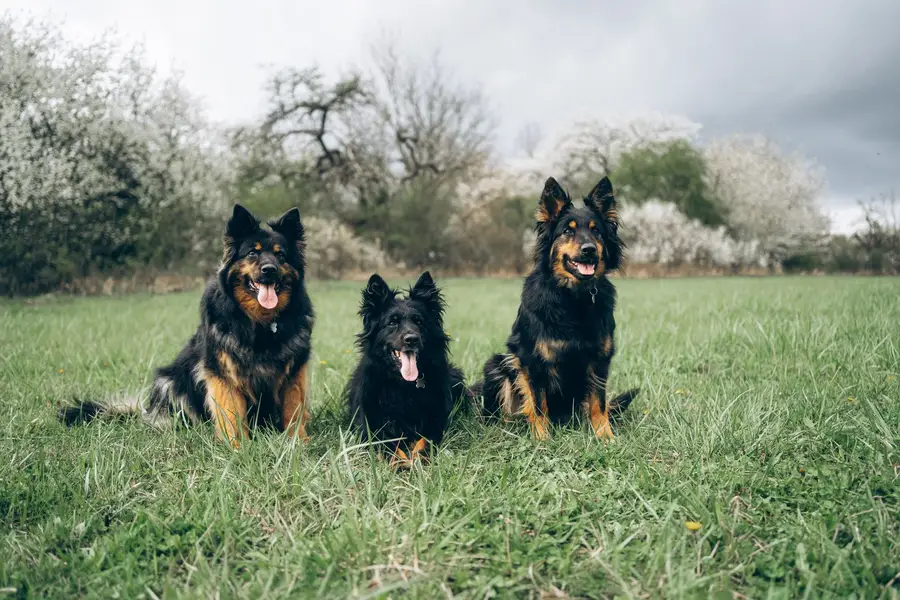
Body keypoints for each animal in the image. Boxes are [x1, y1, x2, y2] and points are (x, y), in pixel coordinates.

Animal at [59, 205, 312, 446]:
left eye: (281, 256)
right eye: (252, 253)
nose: (269, 270)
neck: (260, 323)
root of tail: (144, 412)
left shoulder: (294, 374)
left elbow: (293, 410)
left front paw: (297, 443)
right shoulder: (222, 373)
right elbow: (231, 415)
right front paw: (236, 447)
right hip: (169, 381)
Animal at [346, 274, 468, 468]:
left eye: (419, 321)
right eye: (392, 322)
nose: (412, 339)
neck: (403, 385)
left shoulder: (435, 422)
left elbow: (426, 440)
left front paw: (420, 457)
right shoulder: (370, 425)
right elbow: (386, 444)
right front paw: (398, 460)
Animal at [482, 176, 636, 438]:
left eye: (596, 230)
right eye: (567, 230)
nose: (589, 250)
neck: (573, 298)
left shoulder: (600, 360)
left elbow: (599, 404)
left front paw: (606, 437)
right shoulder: (532, 360)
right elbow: (538, 404)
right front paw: (542, 439)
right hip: (498, 364)